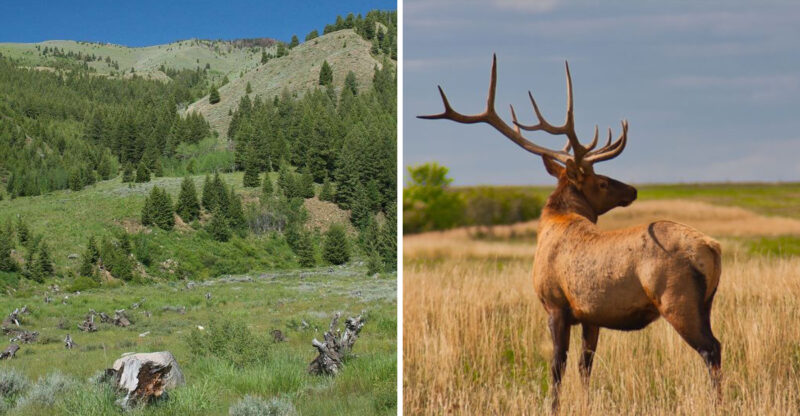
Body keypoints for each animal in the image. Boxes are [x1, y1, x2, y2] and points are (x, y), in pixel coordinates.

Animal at [419, 55, 722, 412]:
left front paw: (553, 406)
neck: (554, 223)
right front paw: (587, 403)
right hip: (706, 303)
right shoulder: (591, 313)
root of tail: (712, 248)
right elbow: (584, 364)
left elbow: (557, 365)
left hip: (676, 299)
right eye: (602, 182)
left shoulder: (555, 304)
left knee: (710, 348)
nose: (631, 190)